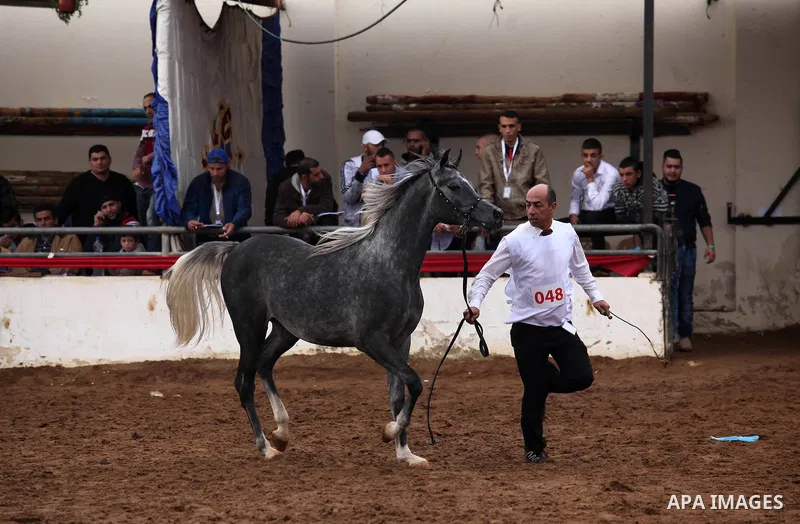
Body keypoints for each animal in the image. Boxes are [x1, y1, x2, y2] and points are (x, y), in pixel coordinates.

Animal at [162, 148, 503, 467]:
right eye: (455, 186)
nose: (497, 214)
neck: (389, 263)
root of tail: (235, 248)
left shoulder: (400, 341)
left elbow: (399, 393)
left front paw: (406, 454)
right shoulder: (371, 341)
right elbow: (415, 383)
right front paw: (389, 433)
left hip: (285, 331)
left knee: (264, 366)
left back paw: (282, 433)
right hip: (249, 328)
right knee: (244, 382)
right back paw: (265, 447)